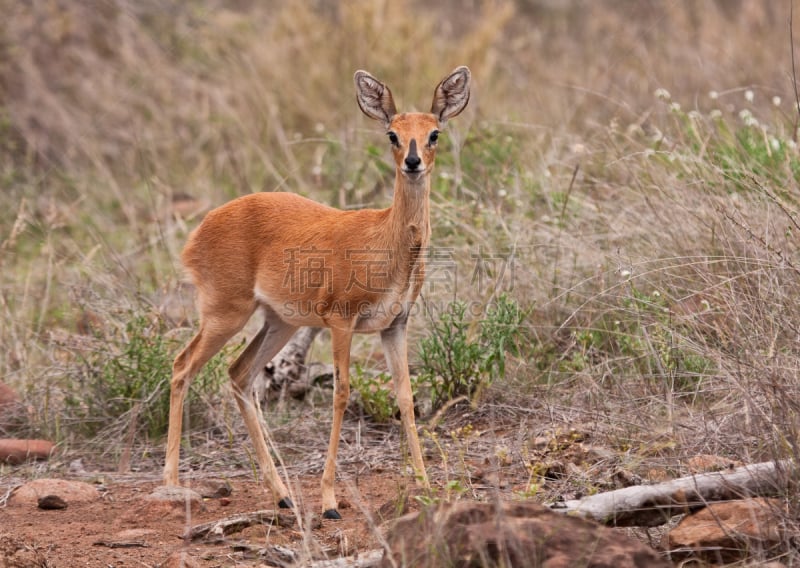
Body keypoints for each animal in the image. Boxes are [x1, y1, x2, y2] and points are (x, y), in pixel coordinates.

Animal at [165, 66, 472, 520]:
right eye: (392, 134)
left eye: (433, 132)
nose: (413, 162)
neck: (386, 242)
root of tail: (200, 230)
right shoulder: (340, 322)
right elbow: (341, 395)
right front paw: (329, 501)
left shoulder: (394, 326)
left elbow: (405, 396)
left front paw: (425, 483)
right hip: (226, 314)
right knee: (182, 365)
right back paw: (170, 484)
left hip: (280, 323)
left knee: (239, 375)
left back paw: (282, 494)